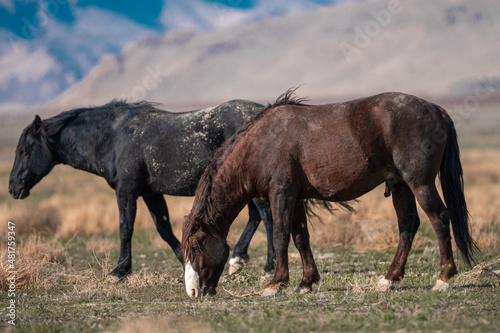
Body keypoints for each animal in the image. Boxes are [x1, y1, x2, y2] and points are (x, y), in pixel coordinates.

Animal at [9, 99, 278, 280]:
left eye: (24, 150)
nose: (13, 188)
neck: (112, 138)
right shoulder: (151, 194)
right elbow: (164, 230)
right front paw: (186, 262)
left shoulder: (126, 191)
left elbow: (125, 228)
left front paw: (119, 271)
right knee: (256, 216)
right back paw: (238, 259)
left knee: (266, 216)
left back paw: (268, 265)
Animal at [182, 88, 478, 296]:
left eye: (196, 246)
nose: (194, 292)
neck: (261, 145)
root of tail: (435, 109)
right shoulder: (296, 198)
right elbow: (301, 238)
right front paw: (306, 282)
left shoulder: (282, 195)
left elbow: (280, 237)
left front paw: (275, 284)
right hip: (401, 185)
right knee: (408, 225)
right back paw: (389, 279)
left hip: (420, 183)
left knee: (439, 219)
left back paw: (443, 279)